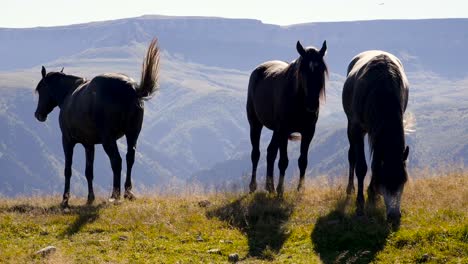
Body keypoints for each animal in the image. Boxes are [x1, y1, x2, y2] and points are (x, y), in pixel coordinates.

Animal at [33, 39, 161, 208]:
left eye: (40, 89)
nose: (38, 115)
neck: (68, 94)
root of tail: (132, 88)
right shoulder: (89, 144)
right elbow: (89, 172)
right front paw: (90, 198)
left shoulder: (67, 141)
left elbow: (68, 169)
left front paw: (65, 200)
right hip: (133, 134)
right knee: (130, 158)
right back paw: (127, 193)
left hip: (109, 140)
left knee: (117, 161)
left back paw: (115, 195)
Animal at [247, 39, 328, 196]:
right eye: (303, 71)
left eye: (321, 69)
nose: (312, 104)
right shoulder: (284, 131)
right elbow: (283, 161)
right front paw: (280, 190)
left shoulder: (308, 132)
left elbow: (303, 161)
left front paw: (300, 189)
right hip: (256, 124)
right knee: (256, 153)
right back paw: (253, 186)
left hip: (276, 131)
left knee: (271, 152)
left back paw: (270, 186)